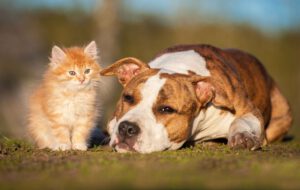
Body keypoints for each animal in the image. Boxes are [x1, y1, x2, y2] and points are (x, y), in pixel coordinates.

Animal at [99, 44, 292, 153]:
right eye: (128, 98)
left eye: (166, 109)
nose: (127, 128)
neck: (177, 67)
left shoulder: (248, 110)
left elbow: (242, 120)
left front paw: (243, 137)